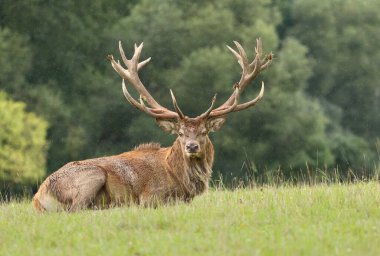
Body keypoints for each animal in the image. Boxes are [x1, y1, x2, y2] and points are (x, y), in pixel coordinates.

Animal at [31, 38, 270, 212]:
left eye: (203, 132)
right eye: (180, 133)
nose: (191, 146)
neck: (182, 181)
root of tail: (38, 197)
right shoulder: (151, 196)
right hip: (92, 175)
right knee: (76, 209)